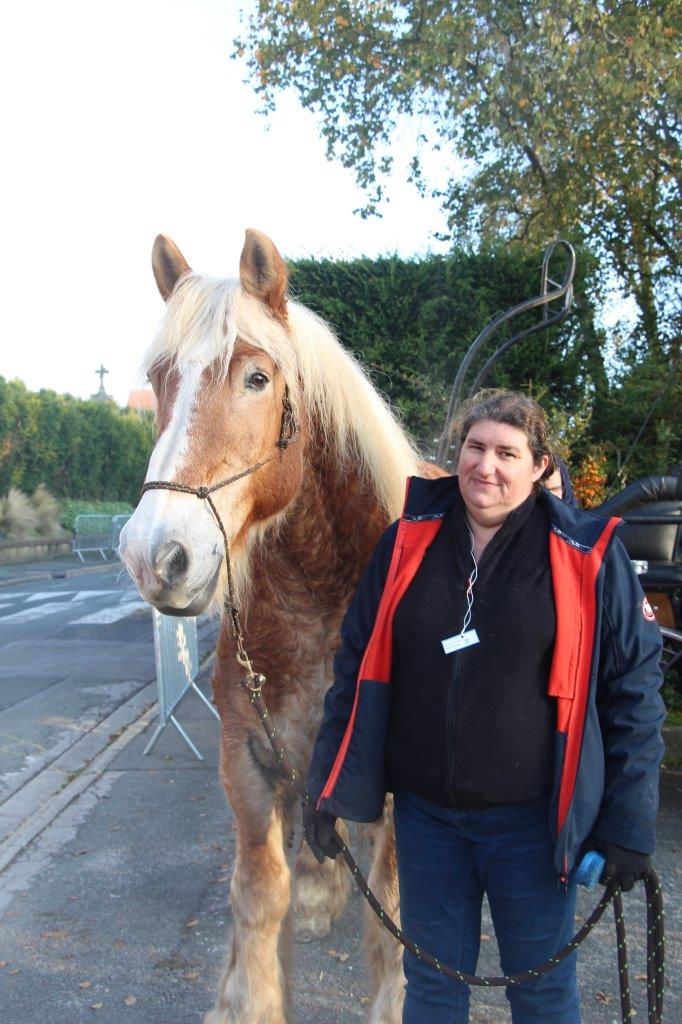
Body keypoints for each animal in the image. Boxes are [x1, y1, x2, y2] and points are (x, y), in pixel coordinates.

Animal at [116, 232, 425, 1024]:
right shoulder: (248, 764)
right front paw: (247, 992)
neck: (320, 601)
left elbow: (396, 912)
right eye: (159, 378)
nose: (155, 555)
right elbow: (260, 894)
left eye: (257, 378)